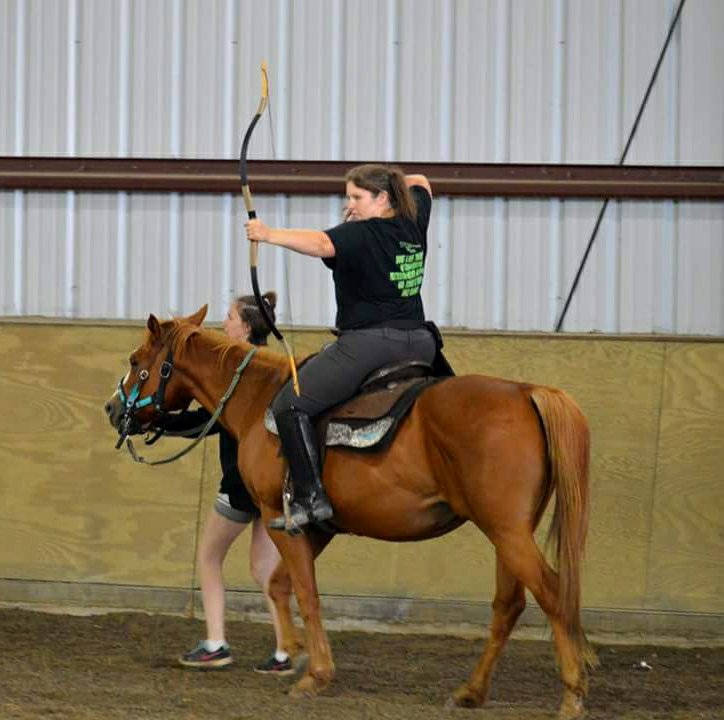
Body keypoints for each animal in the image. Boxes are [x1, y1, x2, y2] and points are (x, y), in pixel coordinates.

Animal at [104, 305, 596, 719]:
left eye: (135, 359)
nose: (113, 408)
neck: (259, 401)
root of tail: (528, 391)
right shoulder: (319, 527)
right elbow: (281, 585)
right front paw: (294, 651)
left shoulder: (280, 519)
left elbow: (306, 593)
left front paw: (315, 673)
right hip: (508, 533)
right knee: (509, 605)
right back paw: (470, 691)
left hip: (508, 532)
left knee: (555, 593)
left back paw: (572, 695)